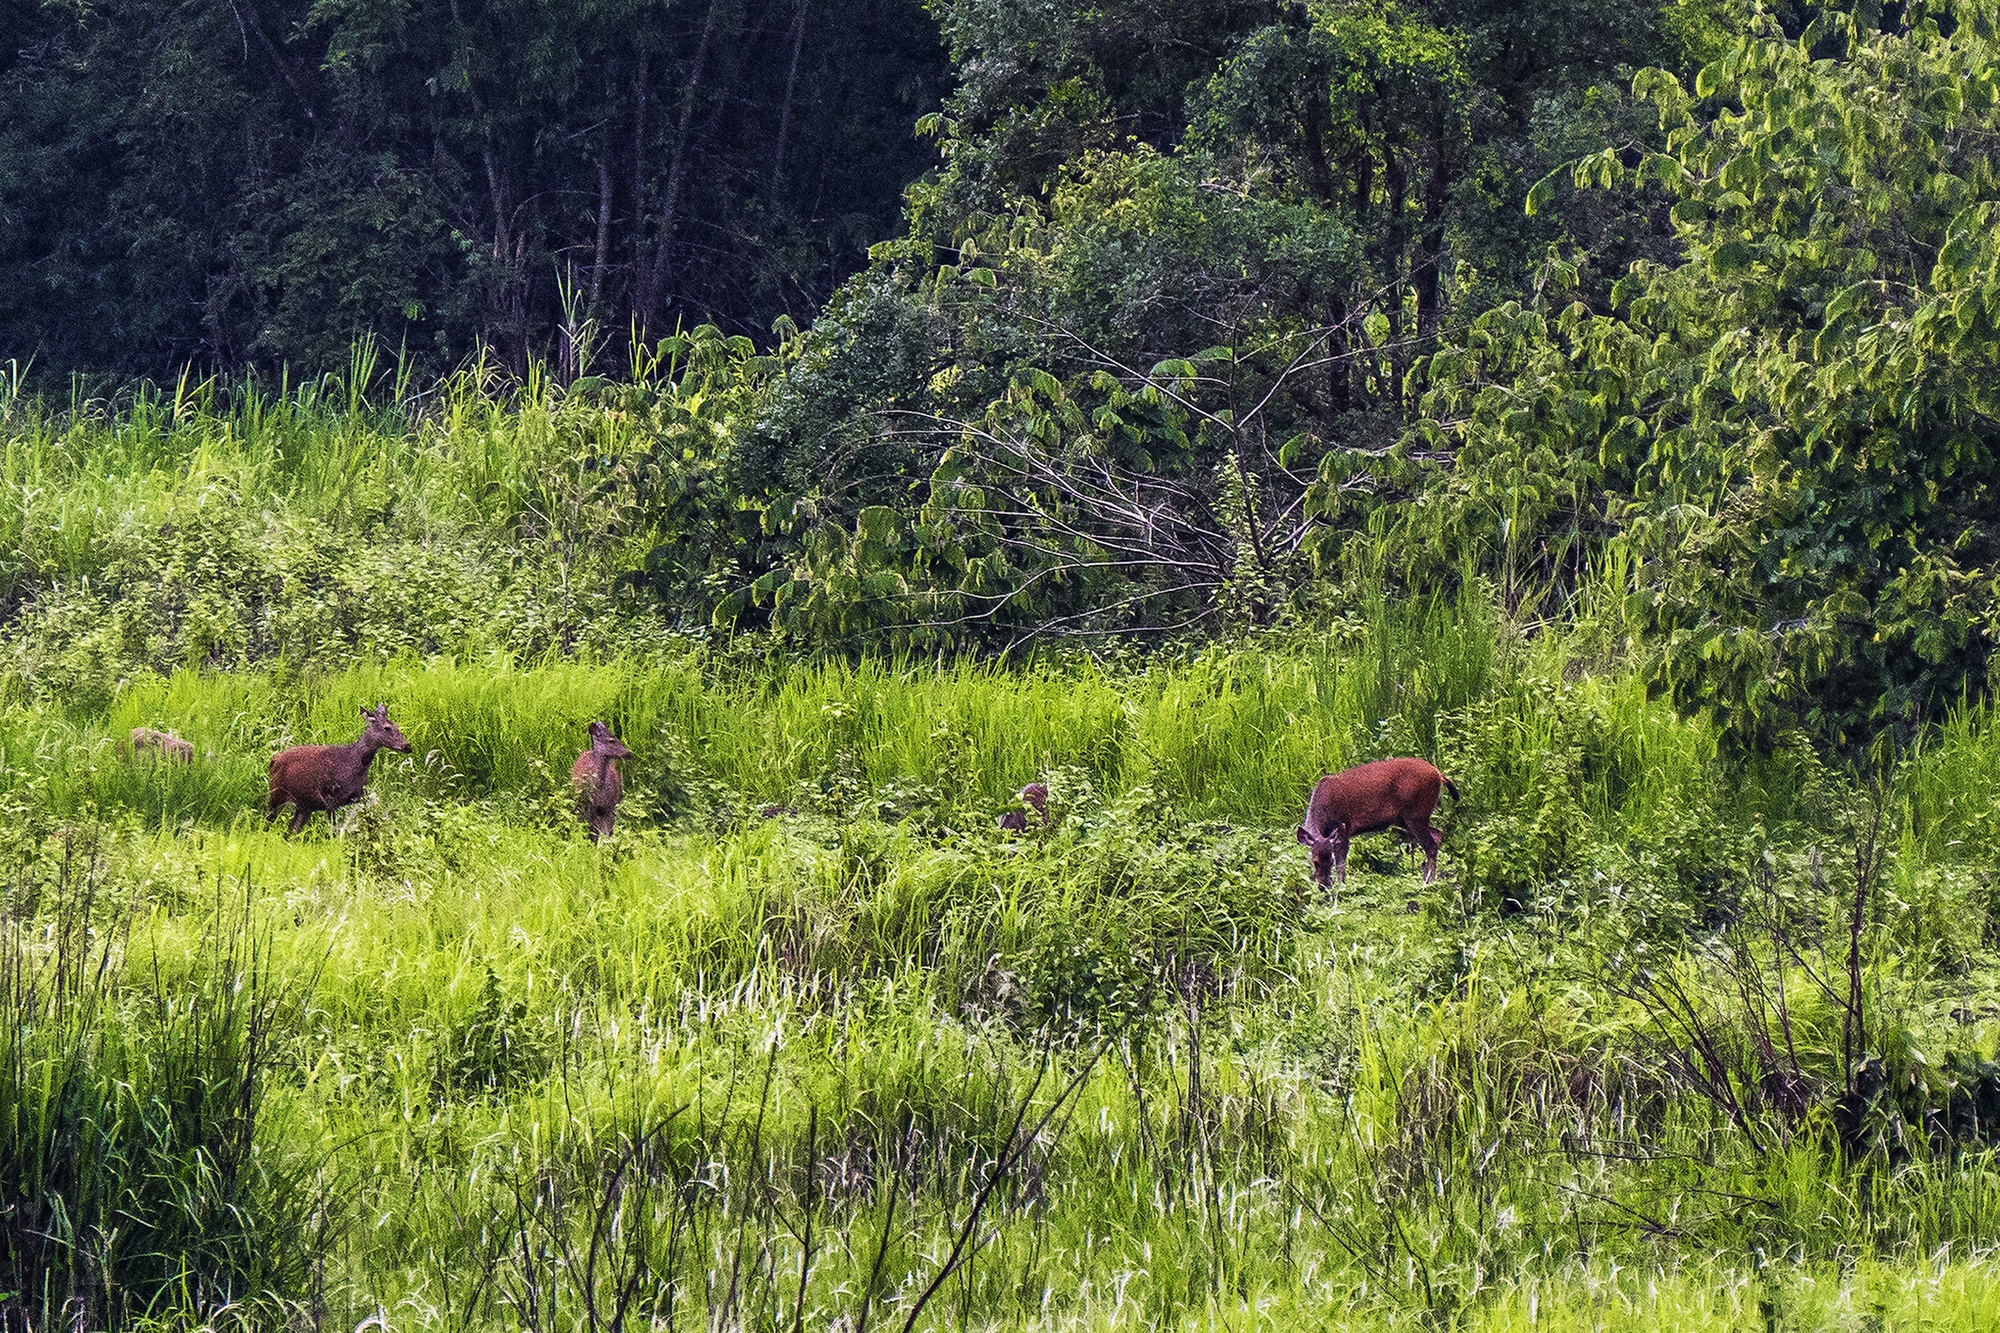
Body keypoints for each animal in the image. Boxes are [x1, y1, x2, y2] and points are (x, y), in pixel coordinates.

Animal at [264, 704, 412, 832]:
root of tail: (273, 760)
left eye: (397, 726)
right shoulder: (330, 798)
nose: (407, 746)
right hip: (276, 793)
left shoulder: (356, 798)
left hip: (305, 805)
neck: (352, 764)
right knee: (269, 821)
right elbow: (333, 832)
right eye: (387, 728)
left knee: (292, 829)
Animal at [1288, 756, 1464, 880]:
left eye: (1329, 860)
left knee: (1431, 845)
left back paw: (1427, 882)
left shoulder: (1344, 827)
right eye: (1315, 861)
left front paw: (1340, 889)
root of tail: (1438, 773)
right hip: (1406, 819)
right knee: (1437, 833)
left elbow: (1341, 864)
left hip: (1417, 814)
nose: (1324, 886)